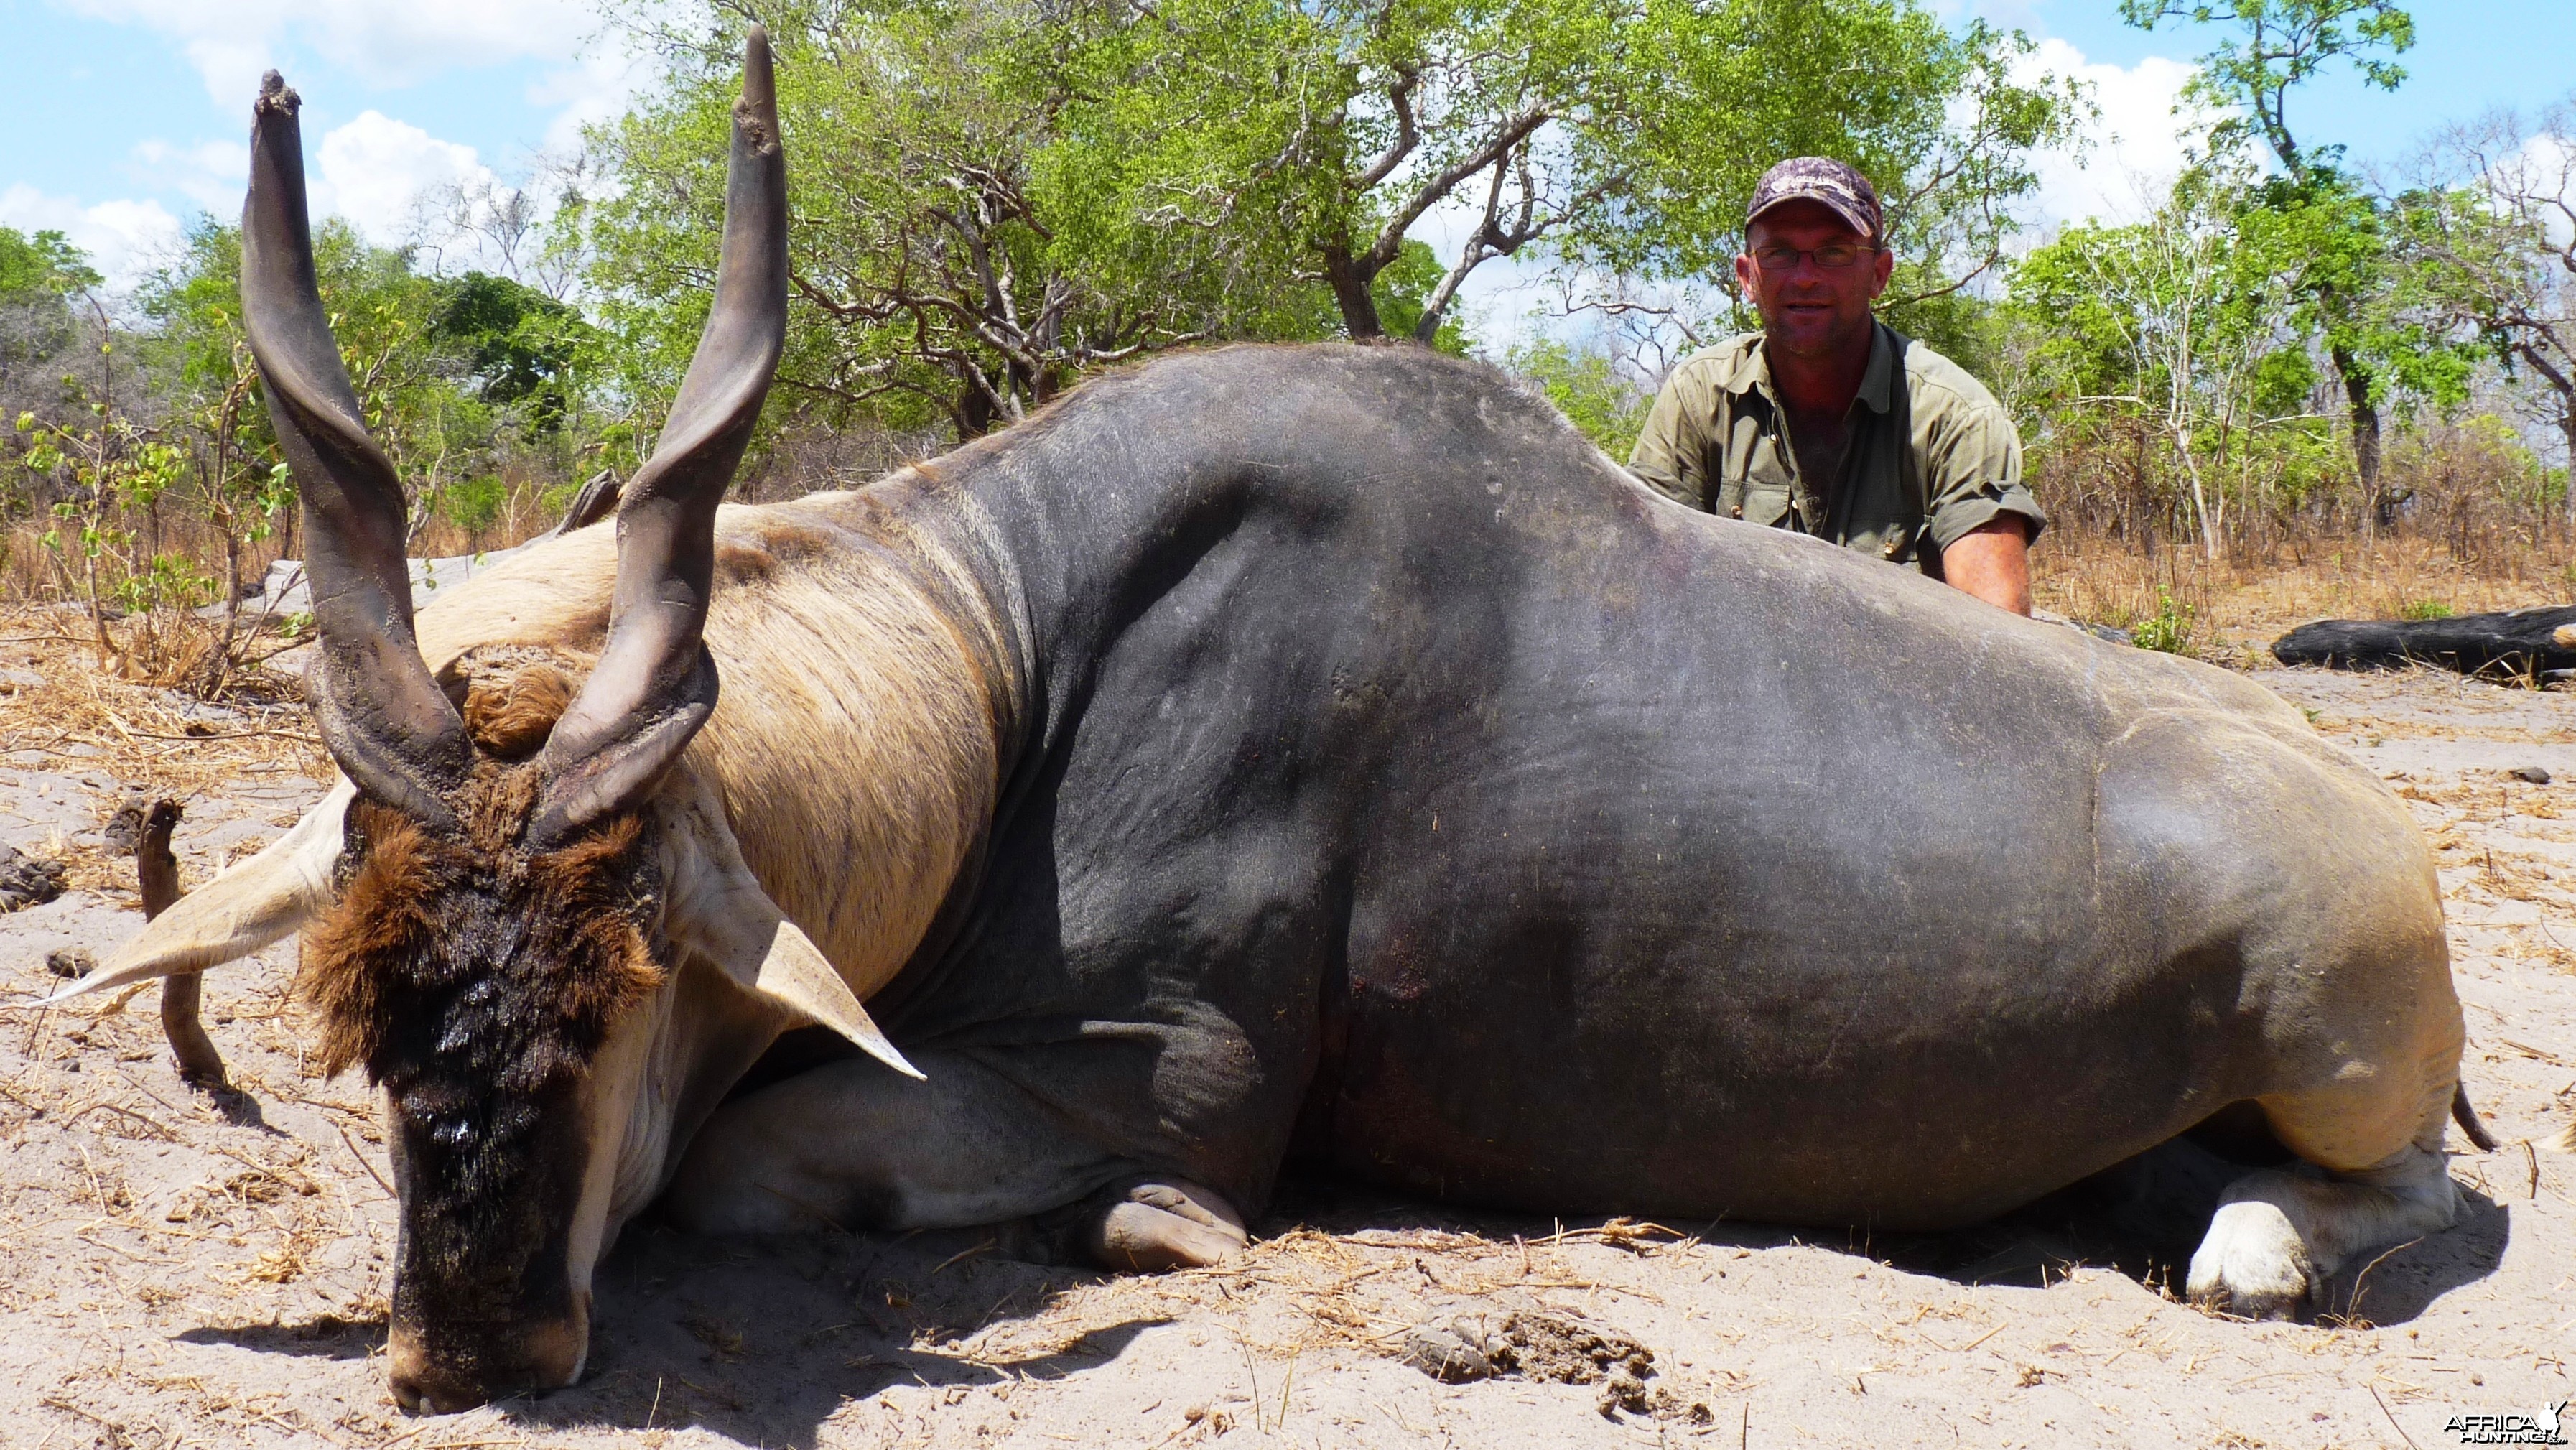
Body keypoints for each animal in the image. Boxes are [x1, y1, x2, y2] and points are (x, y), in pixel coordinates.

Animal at [50, 34, 2483, 1421]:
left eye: (634, 970)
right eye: (365, 1000)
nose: (471, 1341)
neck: (1017, 654)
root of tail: (2381, 841)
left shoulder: (1164, 1082)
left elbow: (856, 1179)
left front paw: (1151, 1243)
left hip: (2331, 1040)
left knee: (2395, 1188)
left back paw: (2249, 1245)